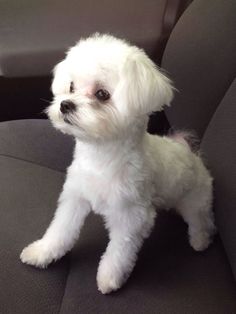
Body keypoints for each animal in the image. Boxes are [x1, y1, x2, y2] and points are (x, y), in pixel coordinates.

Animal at [20, 33, 216, 294]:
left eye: (102, 94)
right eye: (71, 87)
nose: (65, 104)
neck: (101, 158)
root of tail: (192, 154)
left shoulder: (132, 216)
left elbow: (120, 252)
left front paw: (109, 278)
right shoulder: (75, 197)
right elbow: (61, 230)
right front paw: (43, 252)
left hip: (195, 200)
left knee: (201, 220)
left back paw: (200, 240)